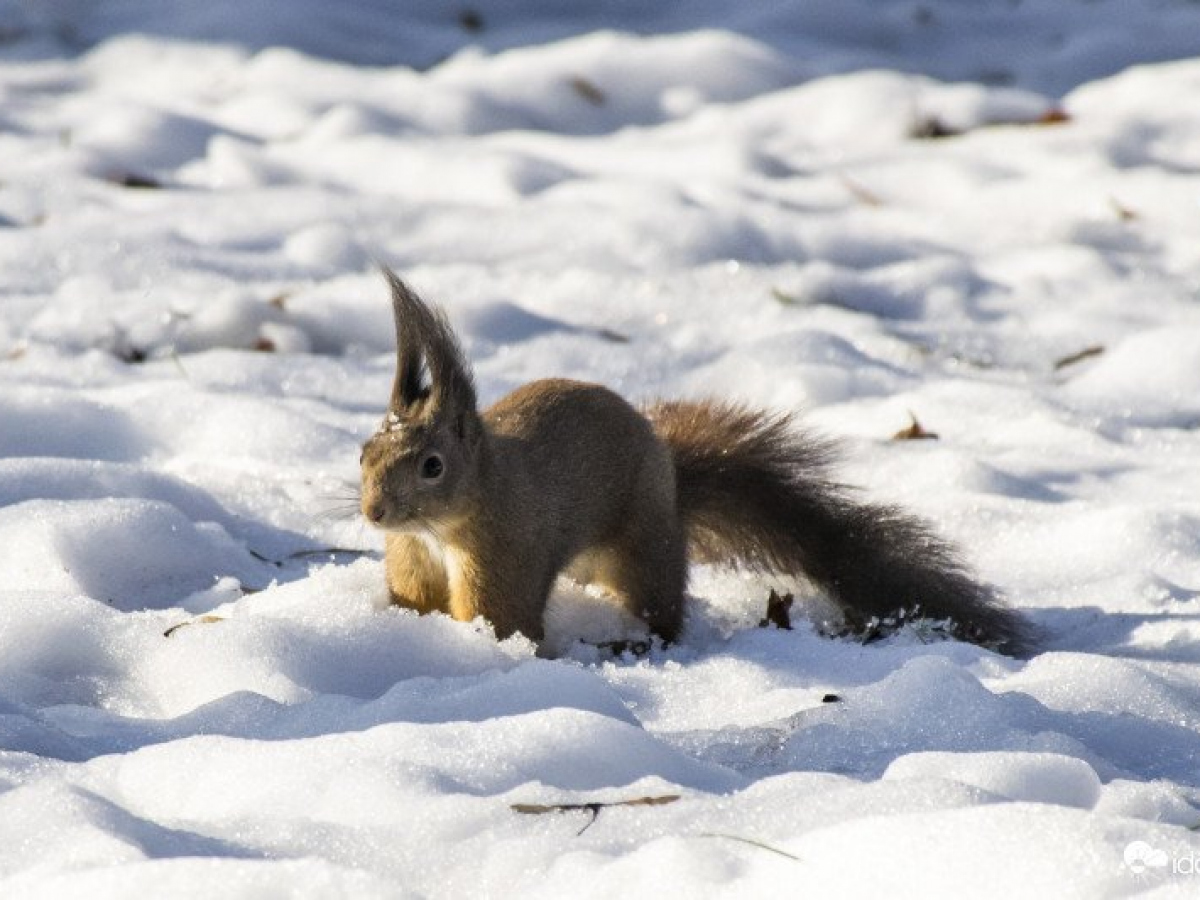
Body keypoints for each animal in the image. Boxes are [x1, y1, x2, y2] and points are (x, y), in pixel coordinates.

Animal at [355, 271, 1032, 657]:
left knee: (662, 610)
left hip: (643, 547)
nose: (374, 512)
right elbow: (417, 603)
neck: (438, 530)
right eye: (364, 453)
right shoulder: (413, 564)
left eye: (433, 465)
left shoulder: (506, 554)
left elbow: (500, 620)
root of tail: (673, 480)